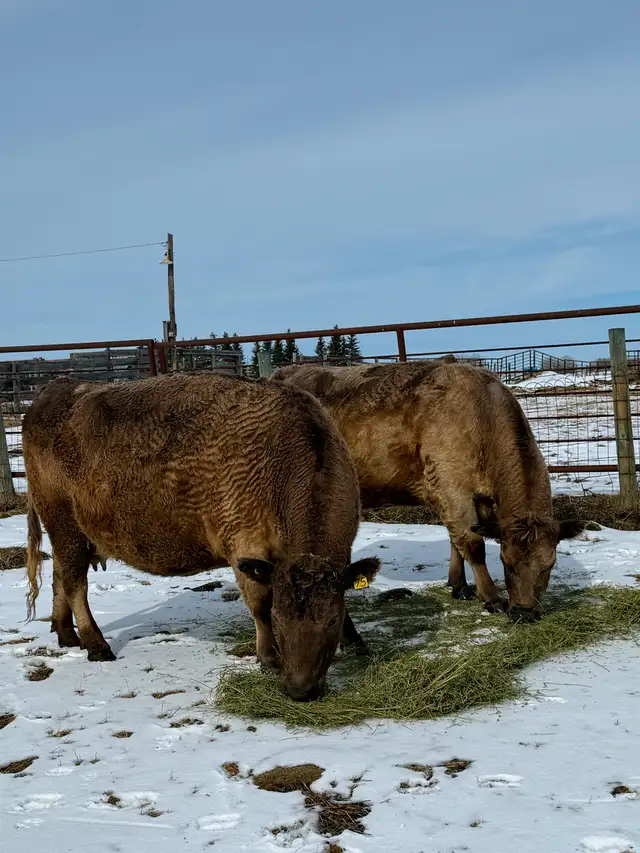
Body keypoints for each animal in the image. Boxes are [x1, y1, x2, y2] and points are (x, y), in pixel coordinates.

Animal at [22, 373, 380, 701]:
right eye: (281, 617)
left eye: (331, 621)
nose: (299, 690)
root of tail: (53, 390)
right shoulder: (245, 548)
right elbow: (260, 605)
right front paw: (269, 658)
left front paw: (357, 644)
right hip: (64, 524)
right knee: (74, 583)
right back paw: (96, 645)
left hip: (70, 535)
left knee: (60, 575)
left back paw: (66, 633)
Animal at [272, 361, 583, 621]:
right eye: (507, 562)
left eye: (550, 565)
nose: (525, 613)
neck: (482, 417)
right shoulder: (451, 488)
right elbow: (473, 545)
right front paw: (492, 598)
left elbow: (457, 541)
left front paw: (459, 585)